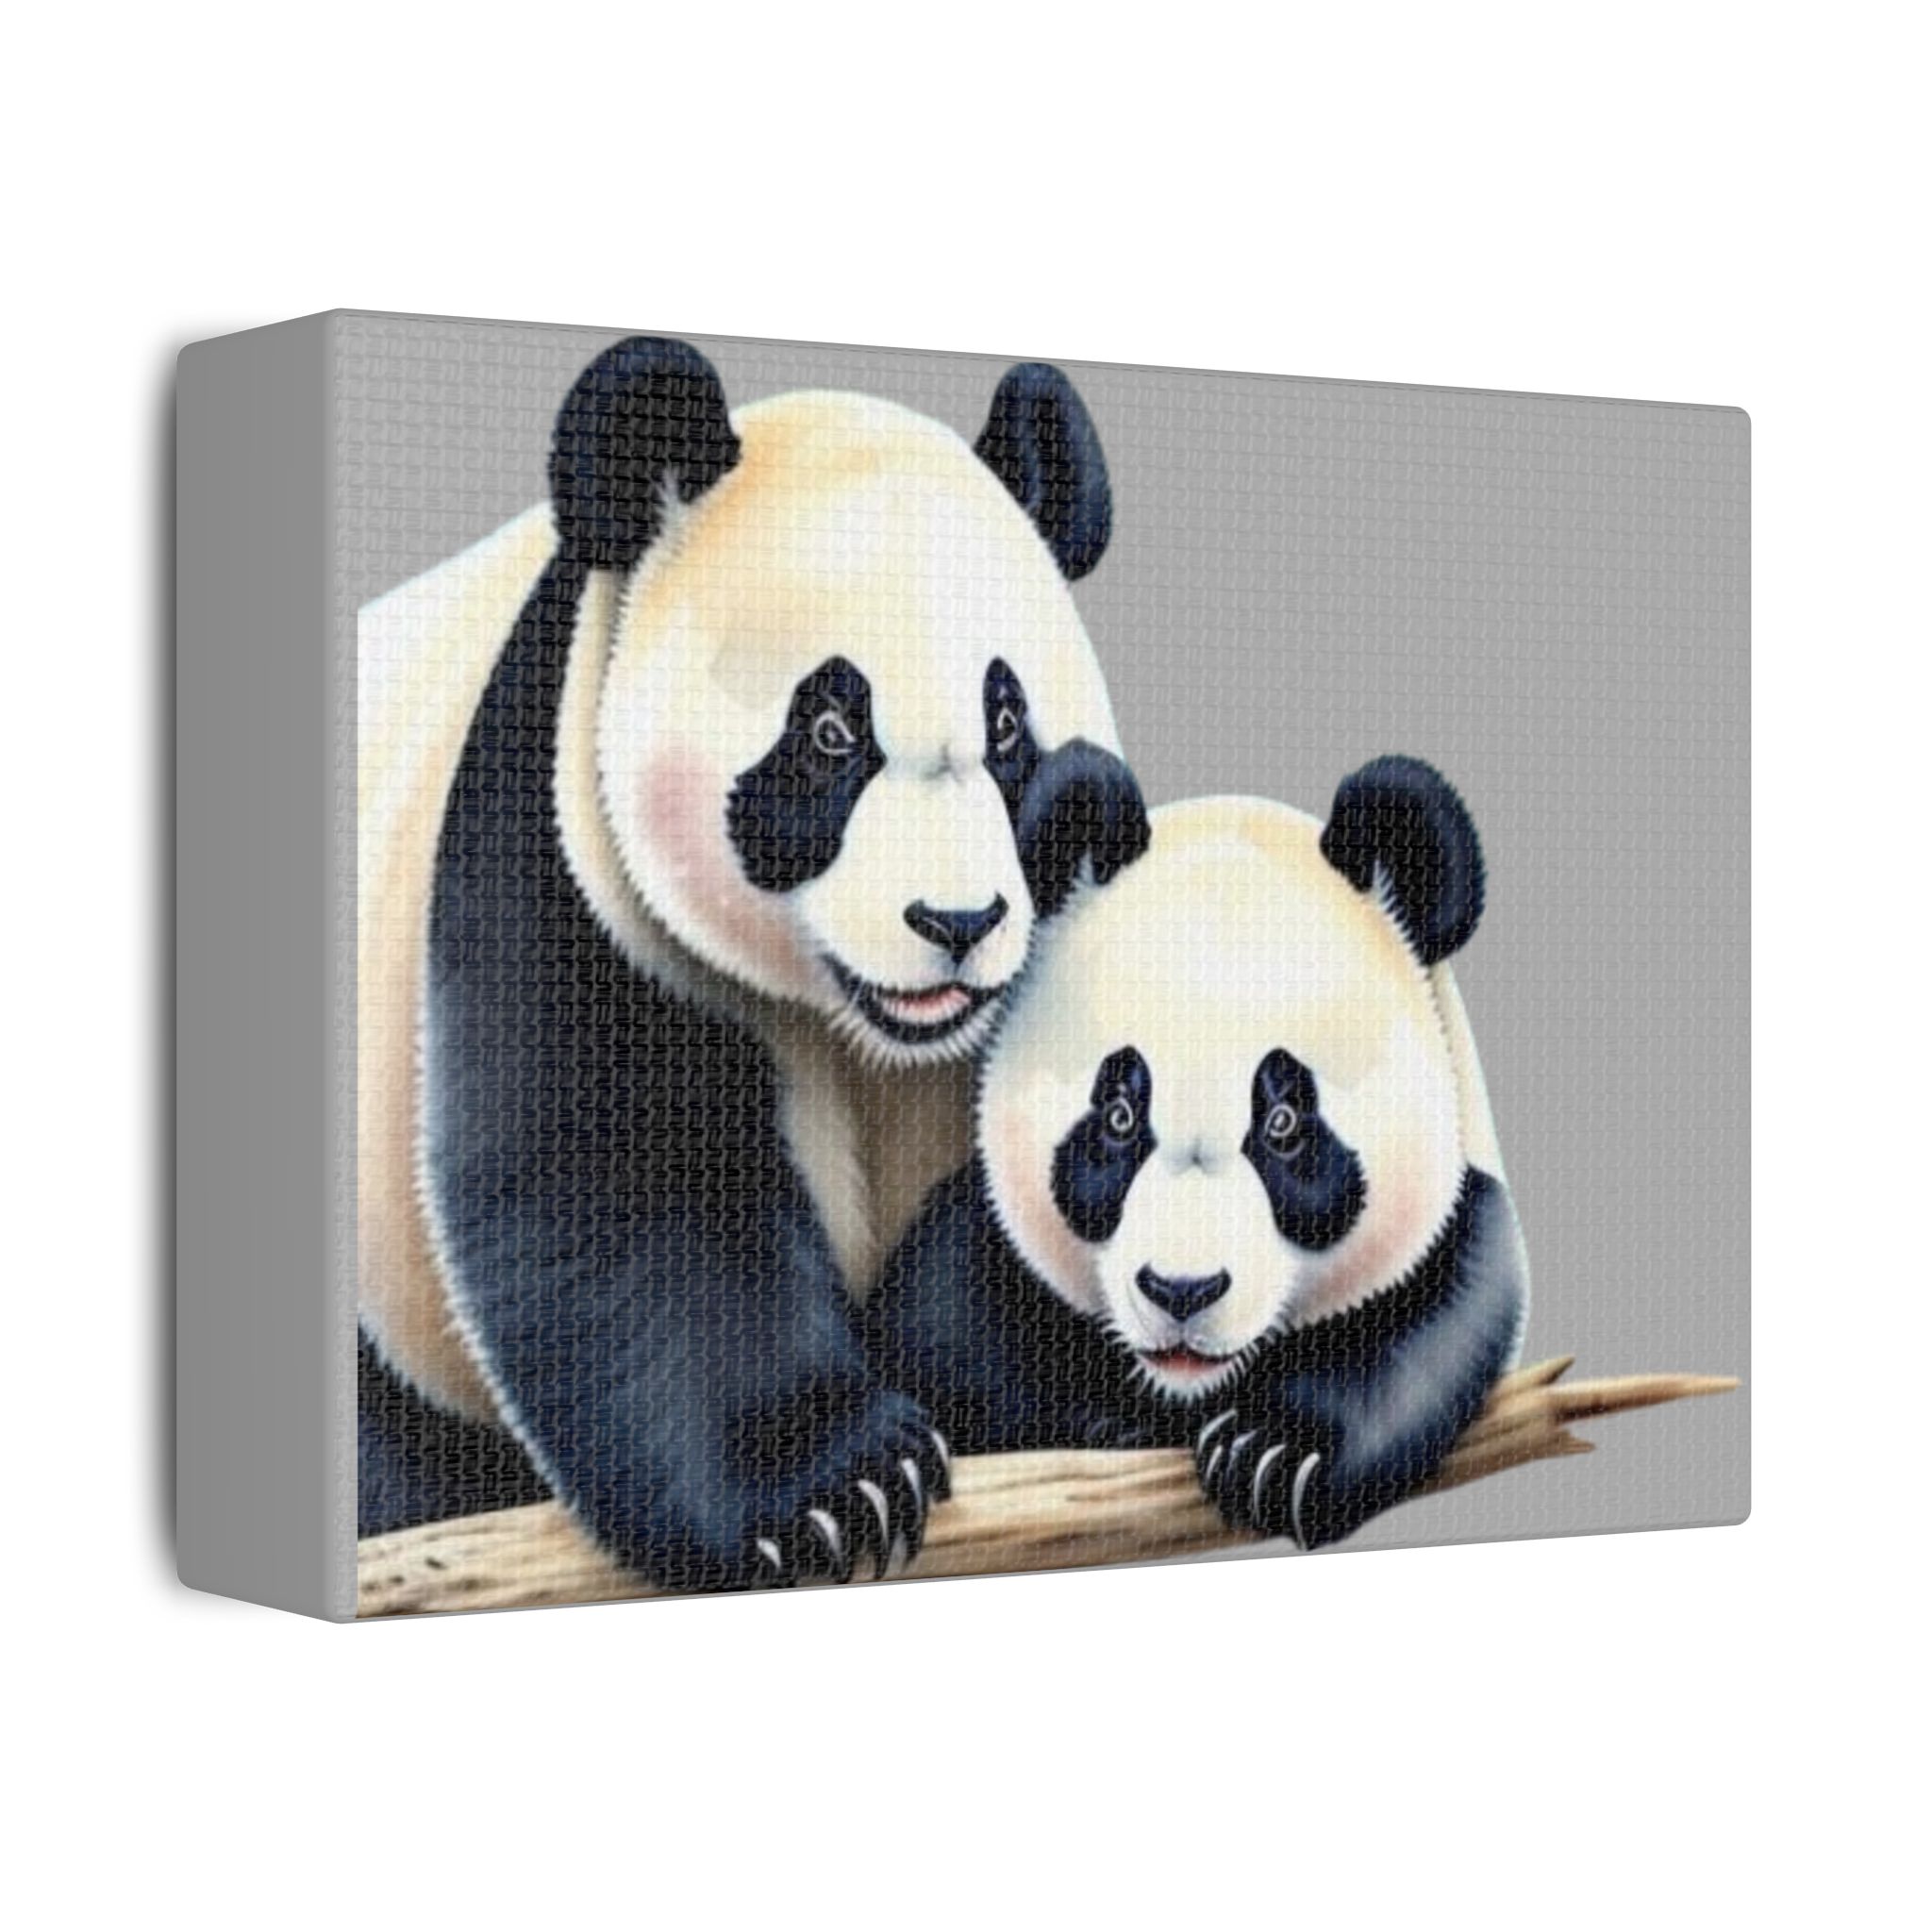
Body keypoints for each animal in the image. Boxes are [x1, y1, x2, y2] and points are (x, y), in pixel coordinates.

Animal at [357, 337, 1150, 1590]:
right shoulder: (564, 852)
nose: (956, 920)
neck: (872, 1030)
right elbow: (623, 1192)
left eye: (1006, 725)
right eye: (828, 733)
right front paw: (840, 1485)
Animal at [867, 759, 1531, 1551]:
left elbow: (1437, 1325)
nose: (1181, 1291)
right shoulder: (977, 1259)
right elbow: (941, 1329)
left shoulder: (1457, 1227)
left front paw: (1275, 1454)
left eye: (1283, 1123)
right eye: (1119, 1116)